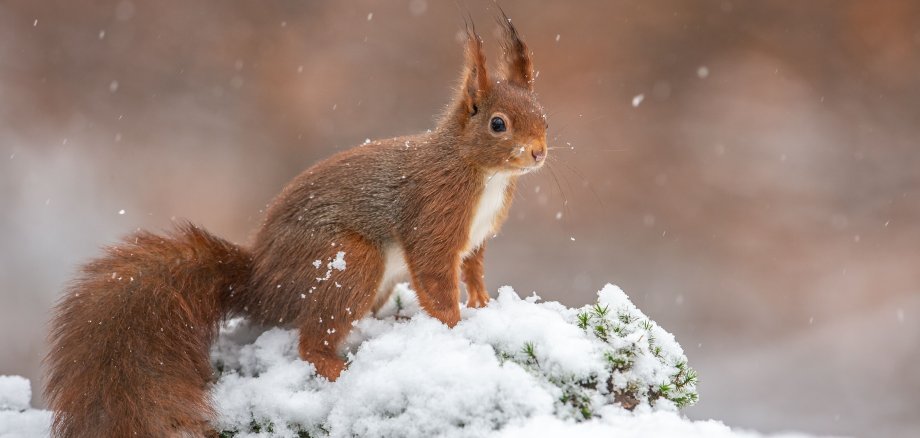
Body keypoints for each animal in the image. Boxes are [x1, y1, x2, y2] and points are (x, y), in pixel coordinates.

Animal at [45, 14, 548, 438]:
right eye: (498, 124)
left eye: (543, 115)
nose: (539, 151)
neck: (481, 173)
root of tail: (260, 285)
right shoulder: (433, 214)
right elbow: (435, 276)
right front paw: (452, 326)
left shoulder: (476, 238)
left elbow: (474, 270)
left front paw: (482, 305)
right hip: (348, 262)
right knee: (312, 340)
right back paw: (338, 367)